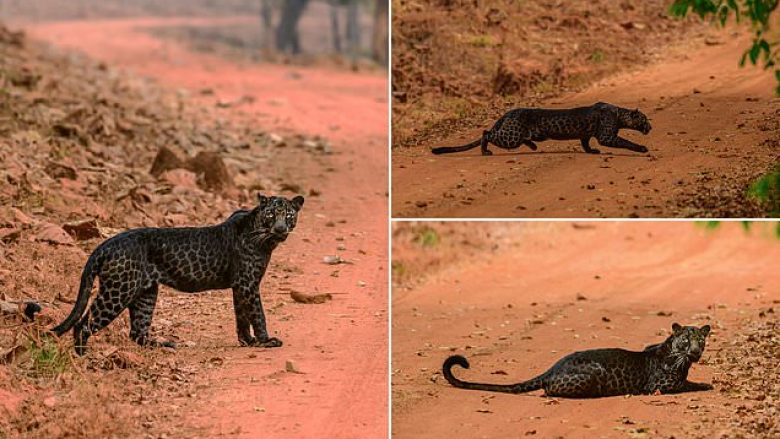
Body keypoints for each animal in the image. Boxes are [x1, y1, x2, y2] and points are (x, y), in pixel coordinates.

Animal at [51, 194, 304, 356]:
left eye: (289, 215)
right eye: (271, 215)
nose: (280, 228)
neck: (264, 239)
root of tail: (106, 244)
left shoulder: (240, 287)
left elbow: (242, 315)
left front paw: (248, 341)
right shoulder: (248, 284)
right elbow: (258, 313)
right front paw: (265, 340)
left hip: (146, 293)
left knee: (137, 332)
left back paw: (164, 345)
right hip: (118, 291)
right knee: (83, 324)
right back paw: (83, 357)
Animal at [432, 102, 652, 157]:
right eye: (644, 120)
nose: (651, 127)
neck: (620, 114)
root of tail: (509, 112)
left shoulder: (585, 135)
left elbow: (585, 143)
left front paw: (591, 151)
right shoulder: (607, 136)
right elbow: (626, 141)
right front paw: (642, 149)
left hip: (518, 135)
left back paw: (533, 147)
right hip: (511, 137)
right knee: (486, 133)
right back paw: (485, 151)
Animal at [442, 324, 708, 398]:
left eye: (701, 341)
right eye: (686, 341)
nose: (696, 352)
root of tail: (552, 368)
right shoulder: (658, 386)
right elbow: (686, 384)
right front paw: (704, 384)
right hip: (592, 375)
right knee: (549, 390)